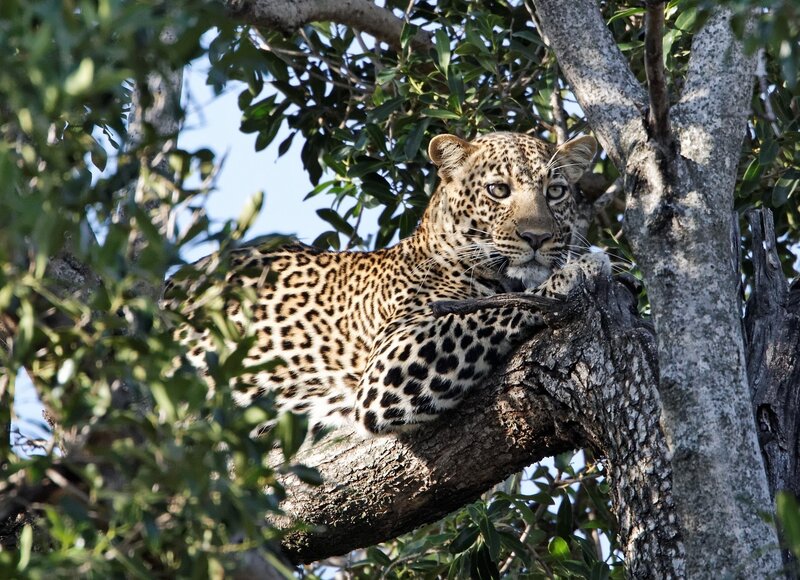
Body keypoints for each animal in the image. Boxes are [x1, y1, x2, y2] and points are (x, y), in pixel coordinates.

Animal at [165, 131, 610, 436]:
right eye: (498, 190)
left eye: (555, 192)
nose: (537, 237)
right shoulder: (389, 364)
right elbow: (493, 308)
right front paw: (580, 270)